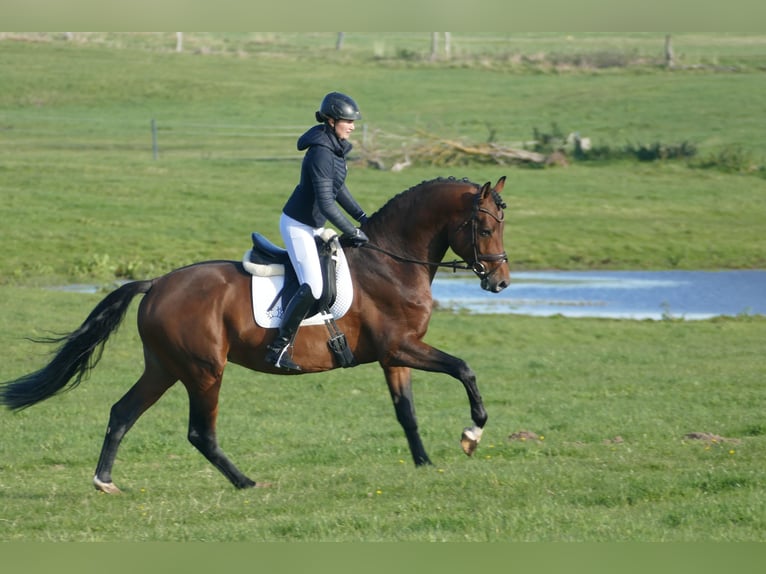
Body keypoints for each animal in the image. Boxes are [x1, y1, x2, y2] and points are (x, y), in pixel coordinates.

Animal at [4, 177, 516, 496]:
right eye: (484, 226)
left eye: (501, 224)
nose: (501, 282)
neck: (391, 262)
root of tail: (157, 284)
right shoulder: (402, 347)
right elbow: (464, 368)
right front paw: (472, 433)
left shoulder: (394, 357)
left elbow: (406, 412)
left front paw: (425, 464)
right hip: (203, 371)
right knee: (200, 432)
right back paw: (246, 483)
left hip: (164, 367)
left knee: (122, 413)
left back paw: (105, 481)